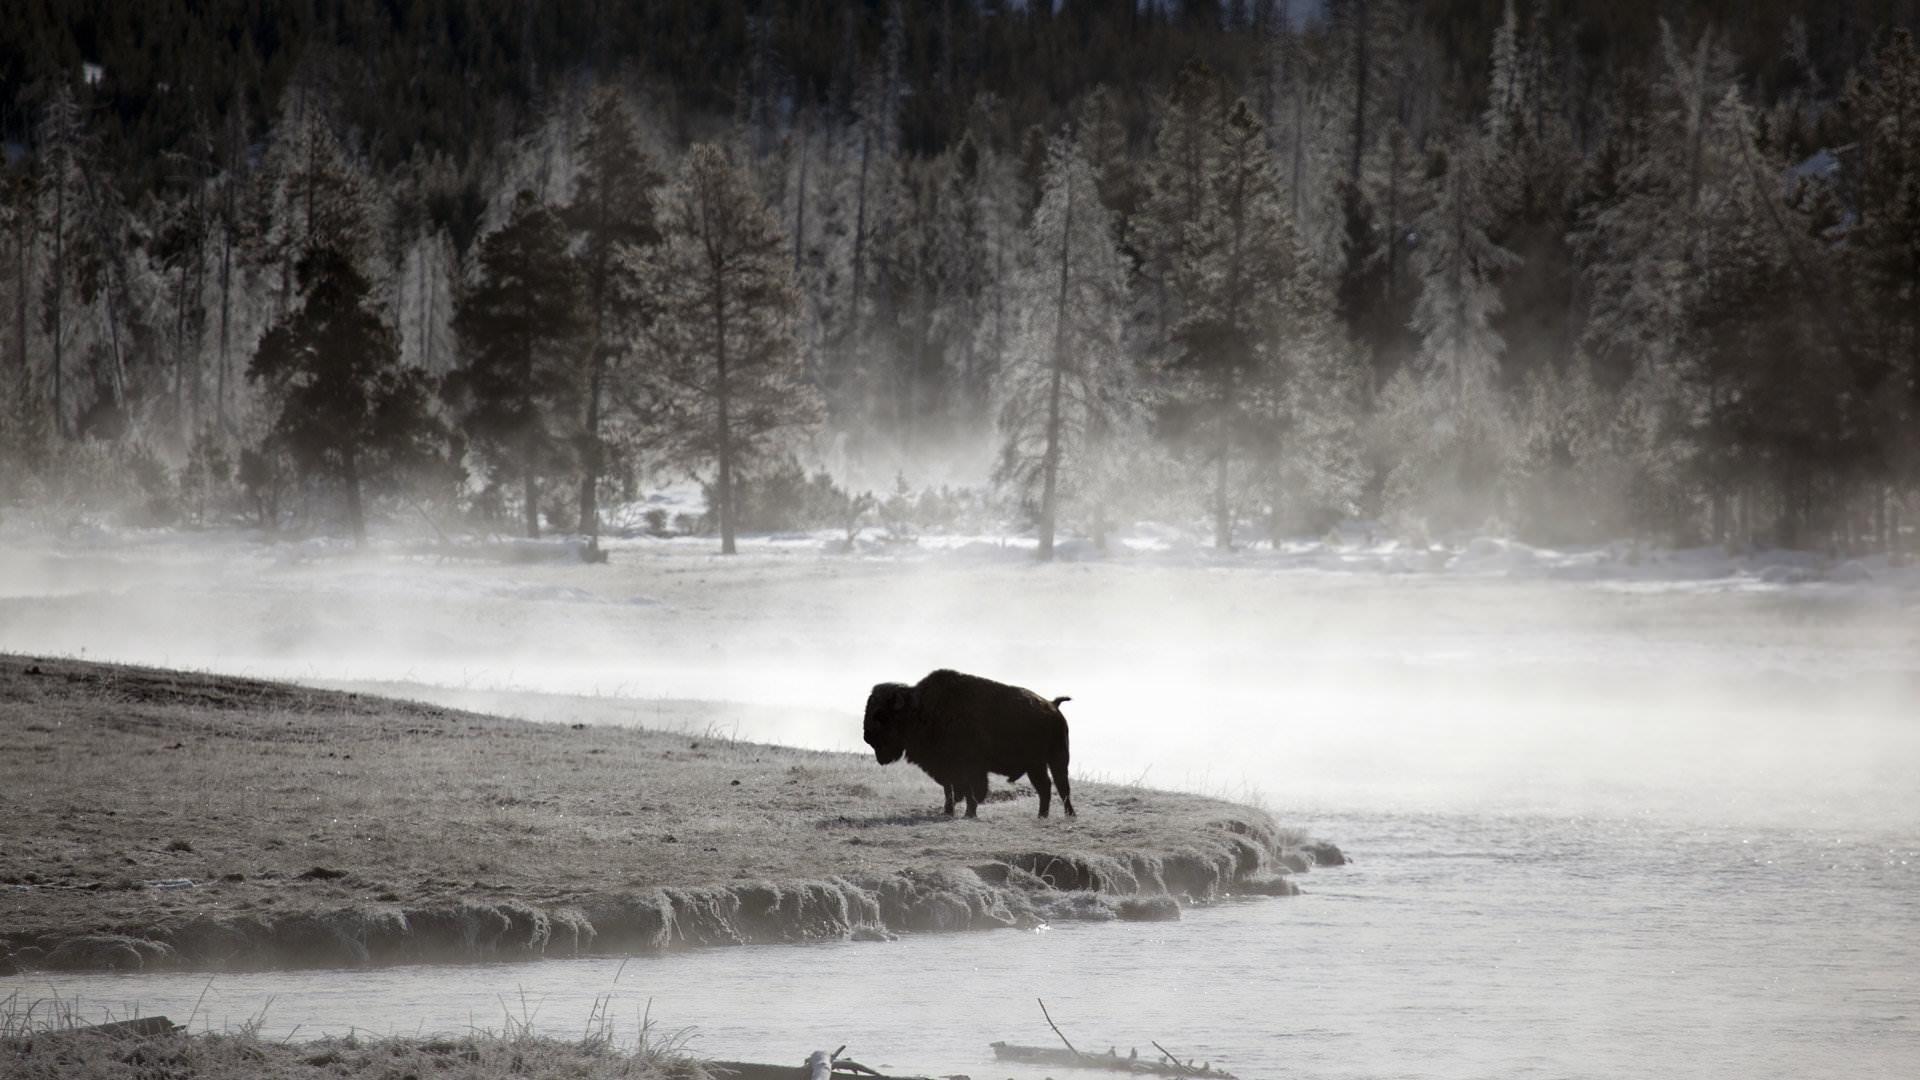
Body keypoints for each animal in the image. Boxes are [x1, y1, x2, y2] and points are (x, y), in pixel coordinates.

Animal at [862, 669, 1075, 818]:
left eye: (881, 715)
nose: (867, 735)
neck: (920, 709)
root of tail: (1053, 706)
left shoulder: (970, 769)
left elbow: (970, 791)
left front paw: (969, 813)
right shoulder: (946, 768)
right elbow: (950, 790)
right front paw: (949, 811)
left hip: (1057, 759)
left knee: (1061, 786)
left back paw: (1068, 815)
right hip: (1035, 766)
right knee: (1045, 787)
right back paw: (1042, 815)